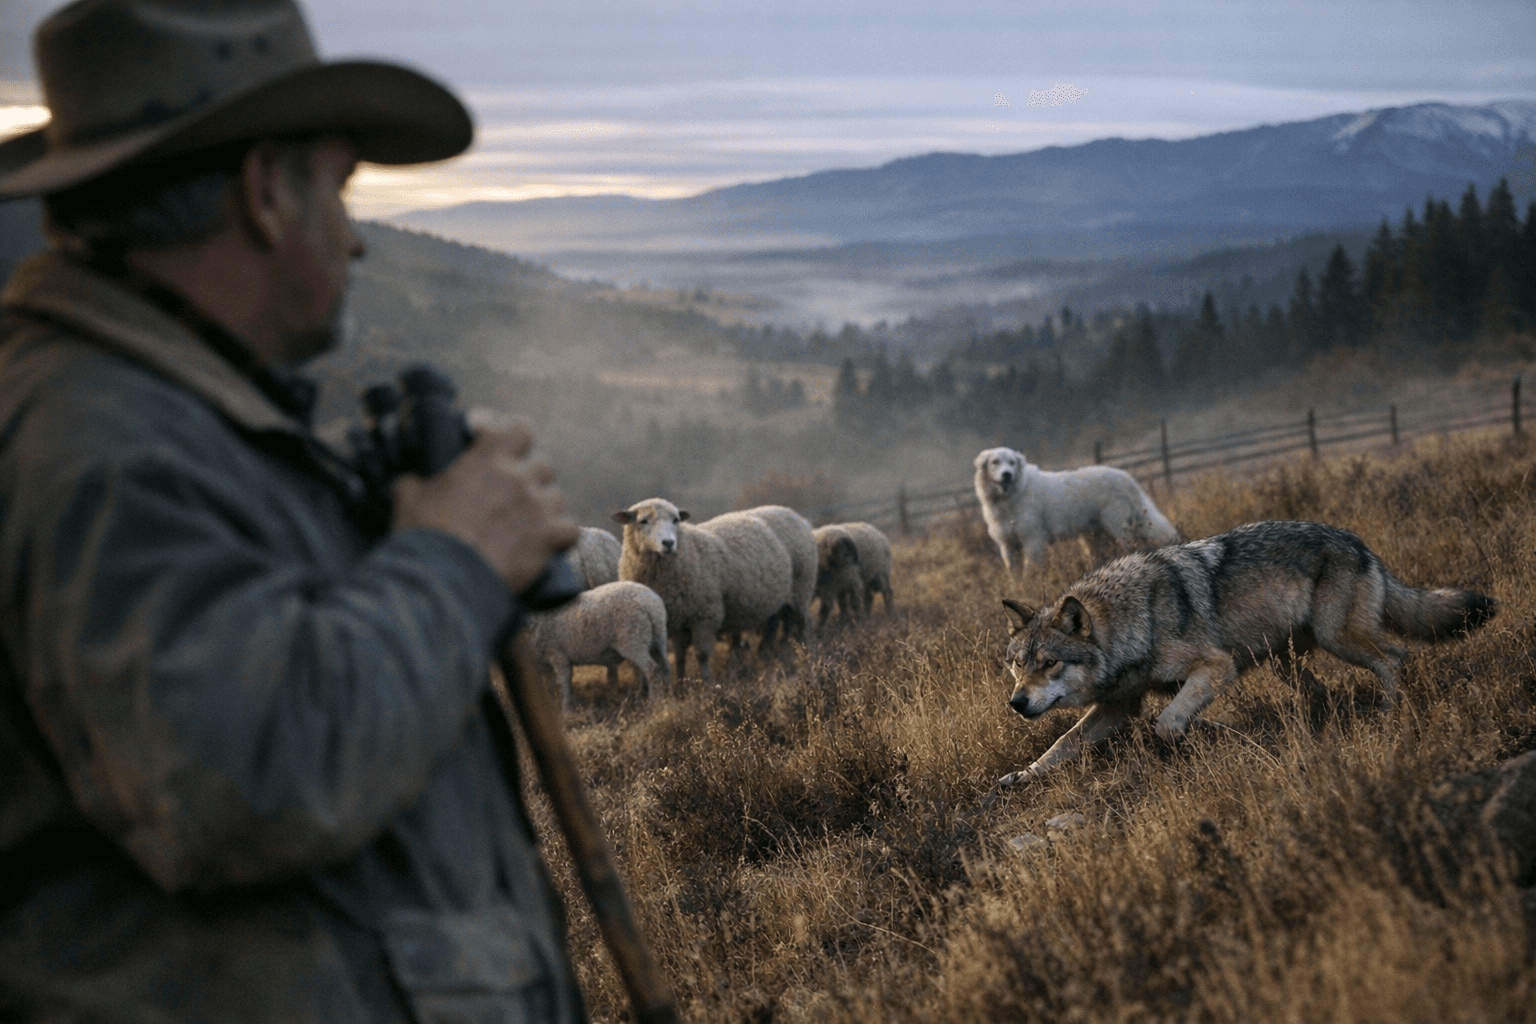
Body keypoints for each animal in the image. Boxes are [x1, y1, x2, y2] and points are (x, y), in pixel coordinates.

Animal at [973, 446, 1179, 573]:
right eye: (995, 462)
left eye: (1012, 462)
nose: (1007, 475)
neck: (1010, 498)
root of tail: (1128, 478)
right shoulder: (1007, 545)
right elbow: (1014, 574)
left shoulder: (1032, 540)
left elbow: (1031, 569)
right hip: (1094, 536)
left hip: (1118, 526)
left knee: (1132, 546)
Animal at [996, 520, 1496, 786]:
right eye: (1017, 665)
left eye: (1049, 664)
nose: (1016, 703)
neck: (1135, 620)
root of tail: (1358, 541)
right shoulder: (1117, 707)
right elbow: (1060, 745)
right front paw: (1021, 776)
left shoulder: (1218, 666)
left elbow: (1168, 721)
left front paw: (1194, 737)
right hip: (1287, 660)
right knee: (1329, 684)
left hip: (1337, 638)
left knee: (1395, 656)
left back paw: (1389, 714)